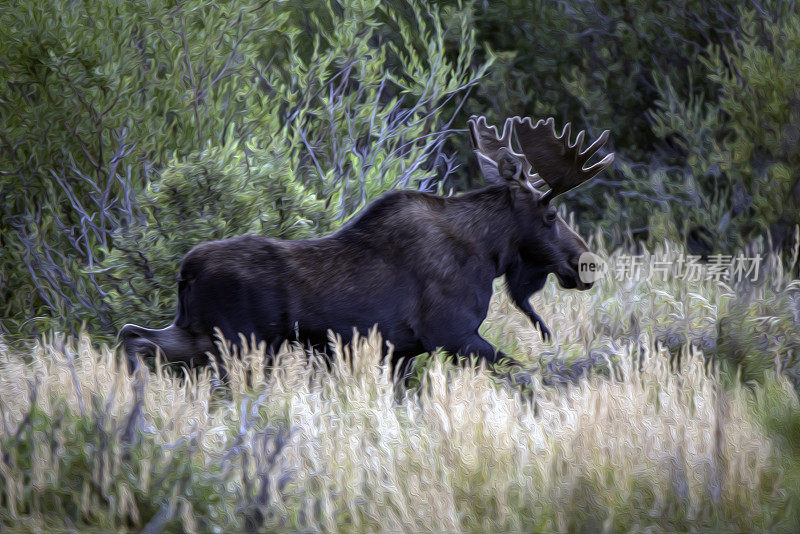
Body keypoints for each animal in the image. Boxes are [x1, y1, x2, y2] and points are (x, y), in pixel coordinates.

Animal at [122, 116, 616, 376]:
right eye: (550, 216)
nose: (586, 264)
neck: (489, 254)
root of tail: (184, 271)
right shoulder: (452, 334)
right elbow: (522, 373)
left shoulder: (400, 352)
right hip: (242, 343)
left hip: (198, 334)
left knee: (134, 337)